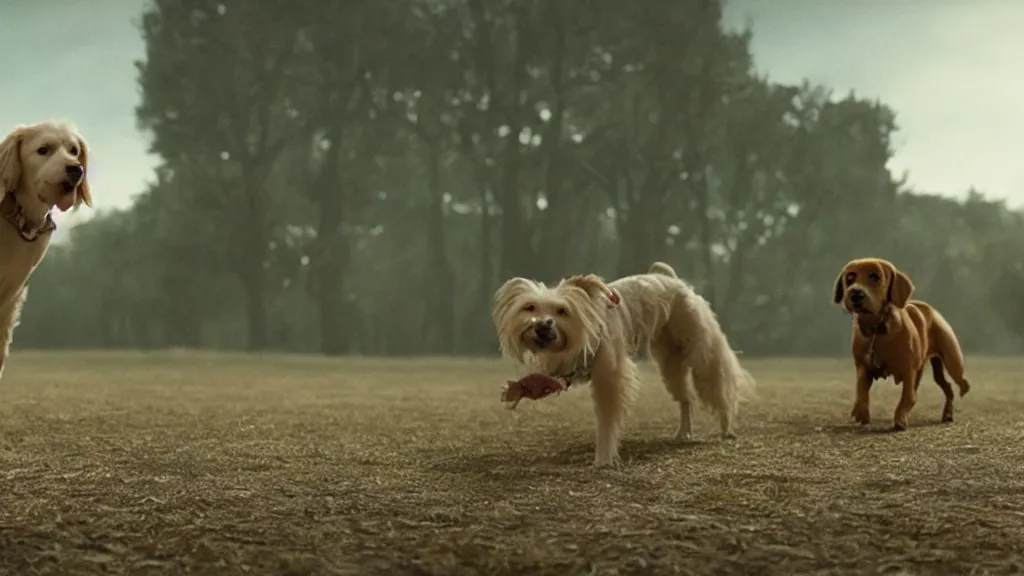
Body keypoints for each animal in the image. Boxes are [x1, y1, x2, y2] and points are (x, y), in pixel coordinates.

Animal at [491, 262, 757, 463]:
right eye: (529, 307)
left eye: (562, 311)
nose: (542, 325)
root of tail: (671, 278)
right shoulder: (562, 369)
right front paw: (517, 390)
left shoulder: (610, 377)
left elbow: (607, 421)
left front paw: (603, 459)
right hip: (670, 362)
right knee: (686, 400)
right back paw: (684, 432)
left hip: (701, 348)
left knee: (718, 384)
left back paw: (726, 427)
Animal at [831, 258, 966, 428]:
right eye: (850, 277)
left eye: (875, 277)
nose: (855, 293)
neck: (876, 329)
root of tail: (933, 310)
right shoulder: (863, 367)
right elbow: (861, 392)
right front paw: (861, 412)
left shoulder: (908, 370)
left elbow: (907, 398)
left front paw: (900, 419)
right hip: (933, 370)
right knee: (947, 386)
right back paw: (947, 413)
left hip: (953, 363)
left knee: (959, 382)